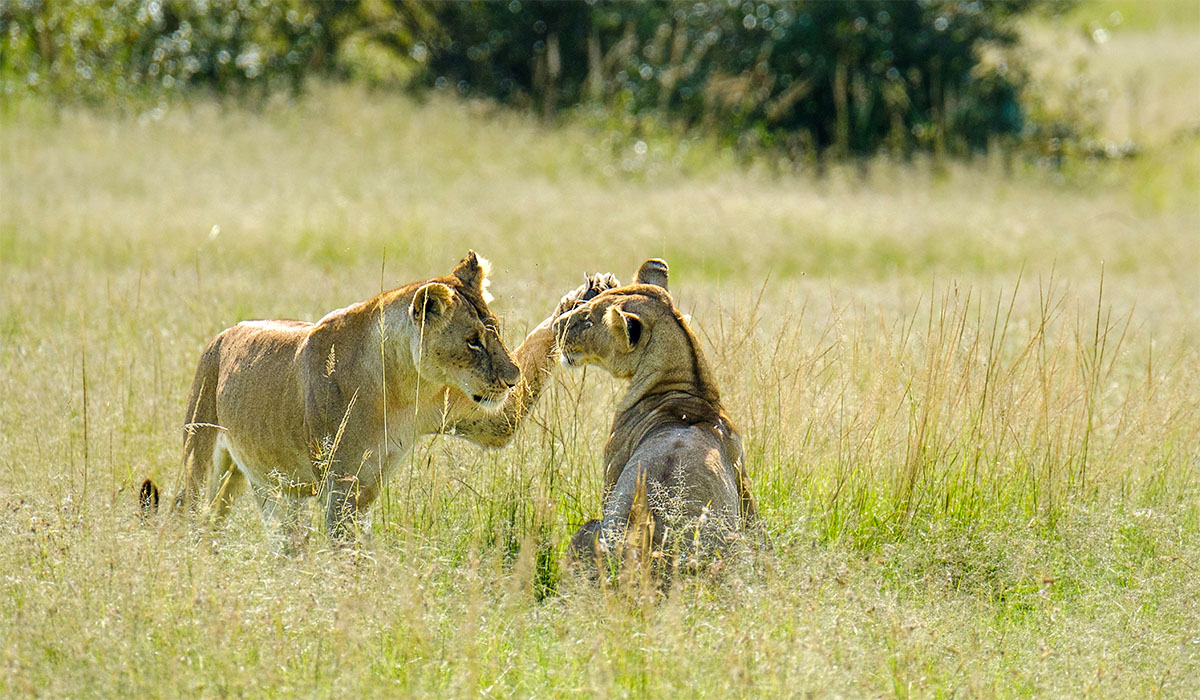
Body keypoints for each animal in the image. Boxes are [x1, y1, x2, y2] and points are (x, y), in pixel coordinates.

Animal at [145, 251, 616, 544]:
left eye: (496, 331)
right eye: (472, 342)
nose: (512, 378)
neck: (404, 389)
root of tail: (224, 333)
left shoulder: (483, 418)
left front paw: (586, 296)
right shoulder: (341, 488)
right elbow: (345, 555)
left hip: (274, 489)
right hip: (201, 456)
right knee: (190, 516)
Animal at [553, 259, 759, 571]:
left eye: (588, 318)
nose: (555, 326)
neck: (690, 387)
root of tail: (656, 556)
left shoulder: (611, 469)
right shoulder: (741, 472)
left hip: (589, 527)